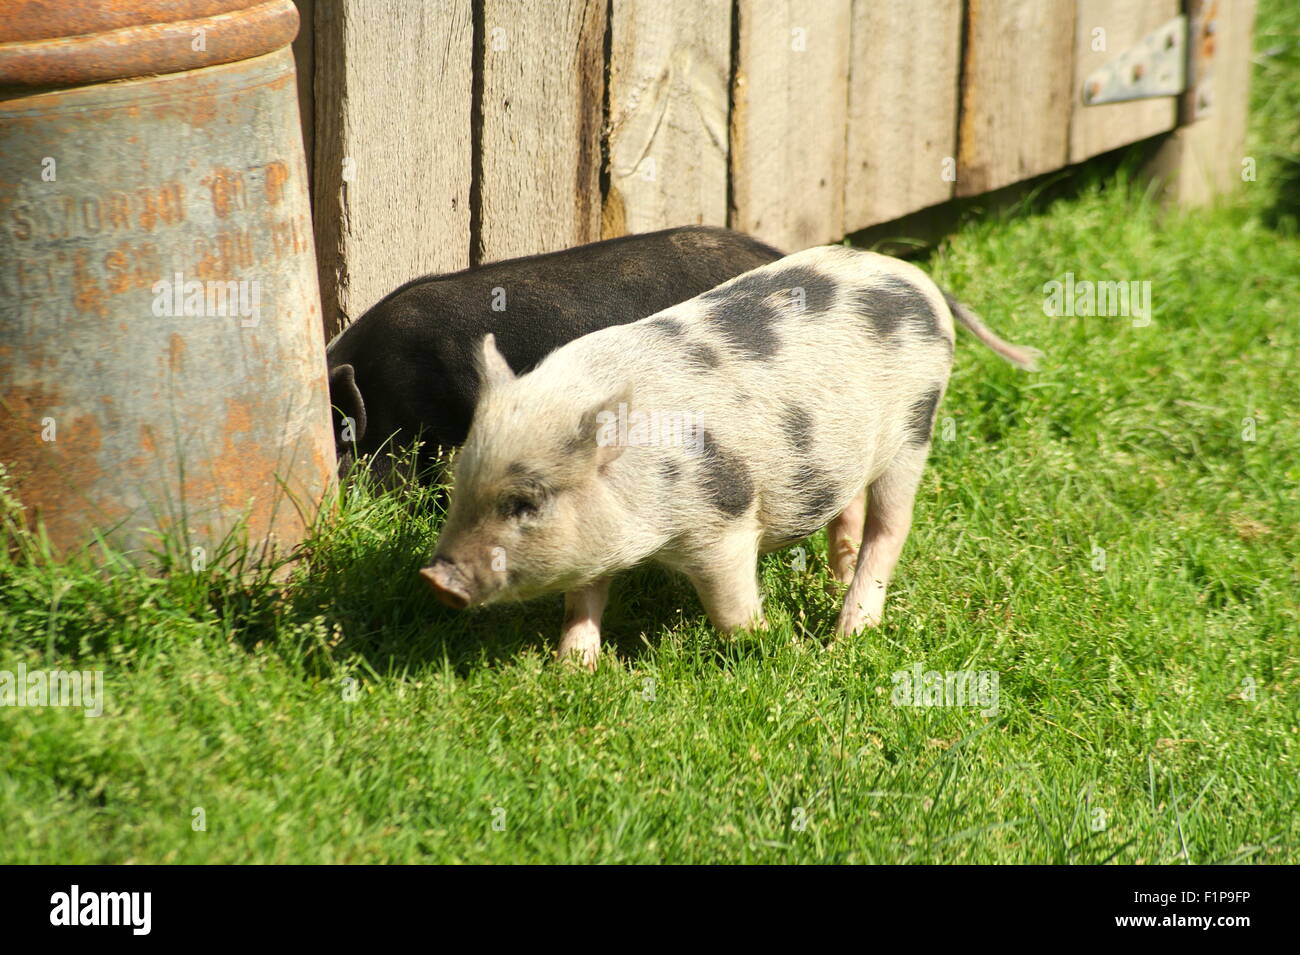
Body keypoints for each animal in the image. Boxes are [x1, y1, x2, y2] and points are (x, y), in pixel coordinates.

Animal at [421, 245, 1042, 669]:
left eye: (526, 502)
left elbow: (729, 604)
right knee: (848, 507)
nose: (435, 577)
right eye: (460, 487)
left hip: (917, 425)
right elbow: (584, 597)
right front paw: (572, 669)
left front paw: (775, 649)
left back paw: (847, 636)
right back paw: (834, 583)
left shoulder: (724, 520)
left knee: (891, 527)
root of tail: (917, 278)